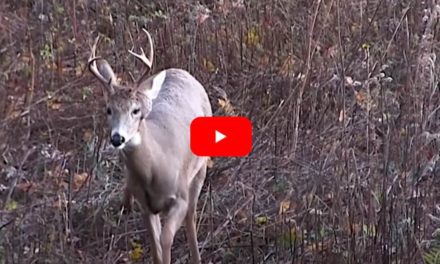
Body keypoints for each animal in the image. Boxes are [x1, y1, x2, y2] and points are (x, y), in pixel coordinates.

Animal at [87, 27, 211, 262]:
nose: (117, 138)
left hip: (200, 169)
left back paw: (197, 257)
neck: (155, 168)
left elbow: (166, 240)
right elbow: (155, 246)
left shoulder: (179, 196)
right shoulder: (145, 205)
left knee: (191, 215)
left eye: (136, 110)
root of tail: (181, 71)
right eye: (108, 109)